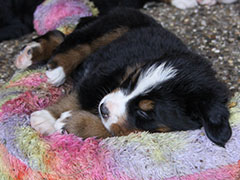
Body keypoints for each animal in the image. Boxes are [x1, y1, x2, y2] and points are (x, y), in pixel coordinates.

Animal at [15, 7, 232, 147]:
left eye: (144, 113)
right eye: (131, 81)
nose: (103, 108)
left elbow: (117, 129)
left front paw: (74, 123)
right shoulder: (105, 71)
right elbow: (78, 98)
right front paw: (47, 118)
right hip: (115, 24)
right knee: (70, 40)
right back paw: (44, 62)